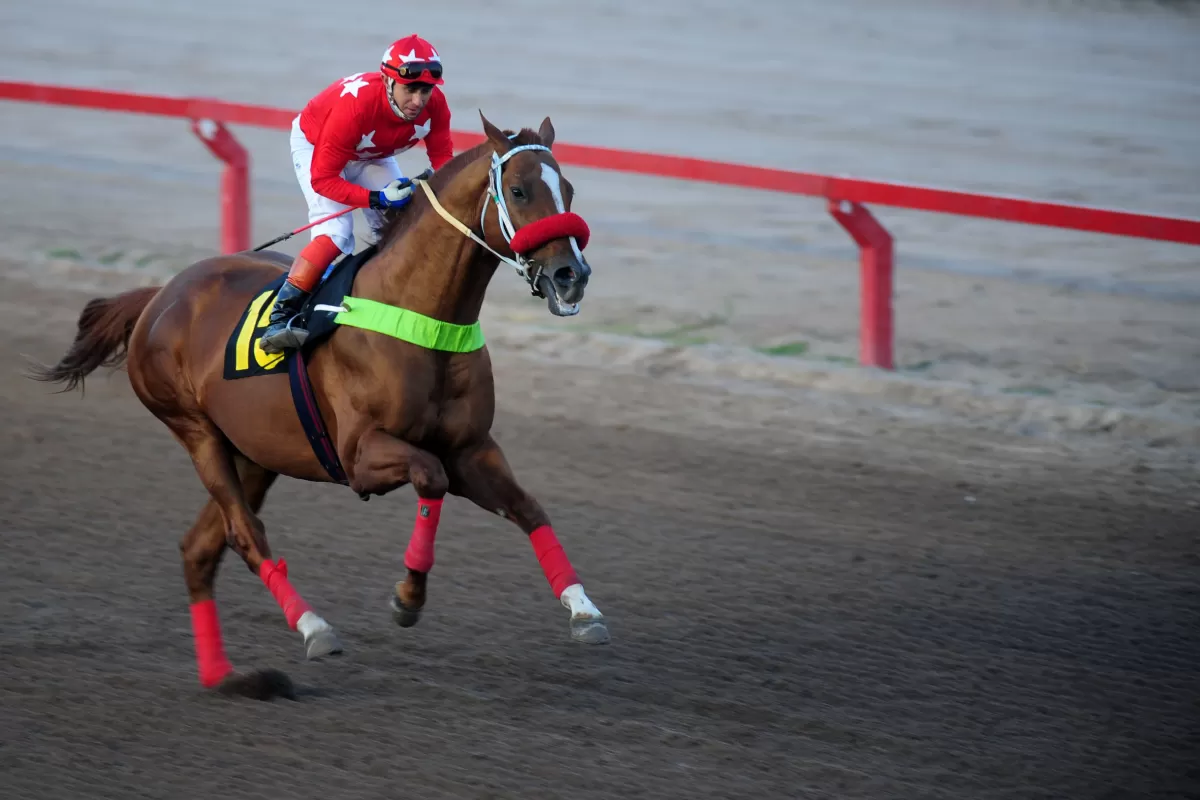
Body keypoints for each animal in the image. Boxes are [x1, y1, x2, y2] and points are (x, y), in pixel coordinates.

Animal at [30, 112, 609, 700]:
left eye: (569, 189)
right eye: (518, 191)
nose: (571, 276)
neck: (422, 317)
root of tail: (158, 296)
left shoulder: (471, 448)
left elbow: (528, 508)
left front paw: (583, 609)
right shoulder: (360, 456)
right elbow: (431, 477)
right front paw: (407, 597)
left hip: (255, 454)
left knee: (200, 549)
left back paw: (226, 677)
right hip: (196, 432)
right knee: (244, 534)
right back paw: (313, 628)